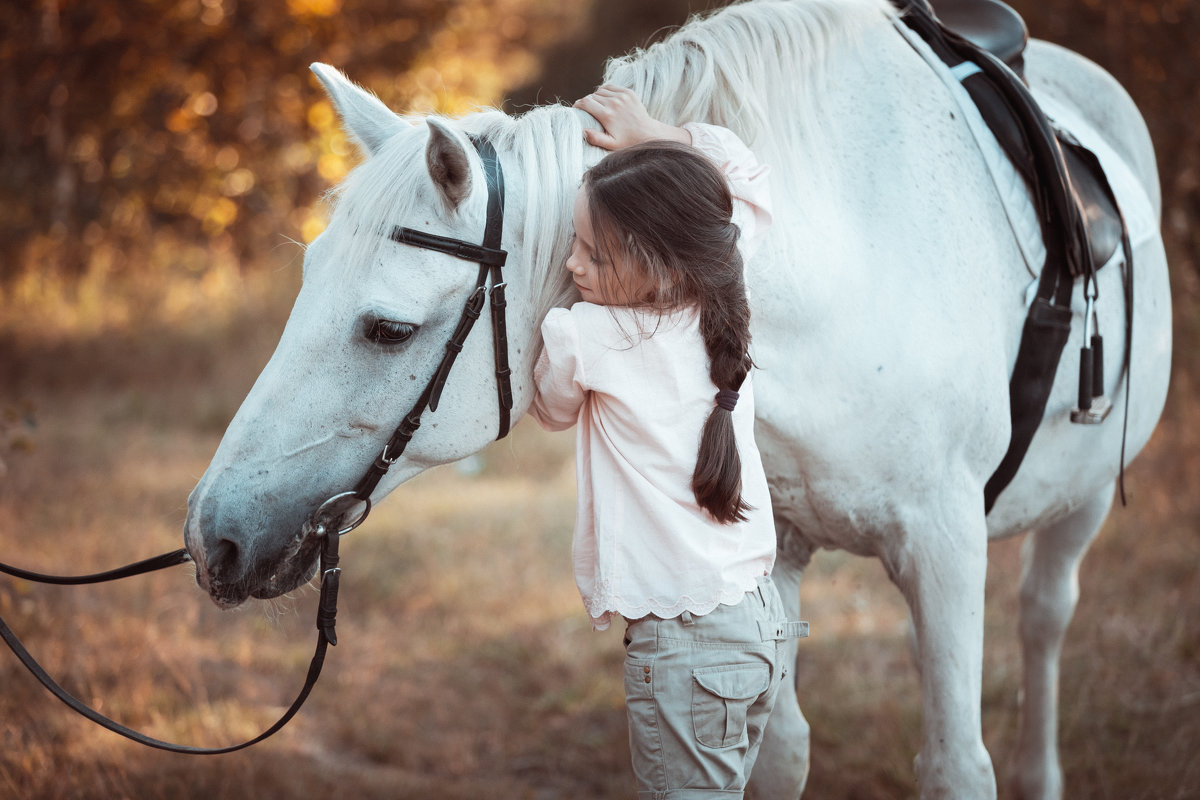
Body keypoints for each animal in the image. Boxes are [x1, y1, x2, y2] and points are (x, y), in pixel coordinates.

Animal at [180, 3, 1171, 796]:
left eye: (386, 329)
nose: (210, 535)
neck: (853, 269)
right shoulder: (769, 556)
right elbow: (780, 751)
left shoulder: (946, 545)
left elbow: (956, 765)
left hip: (1081, 499)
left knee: (1044, 616)